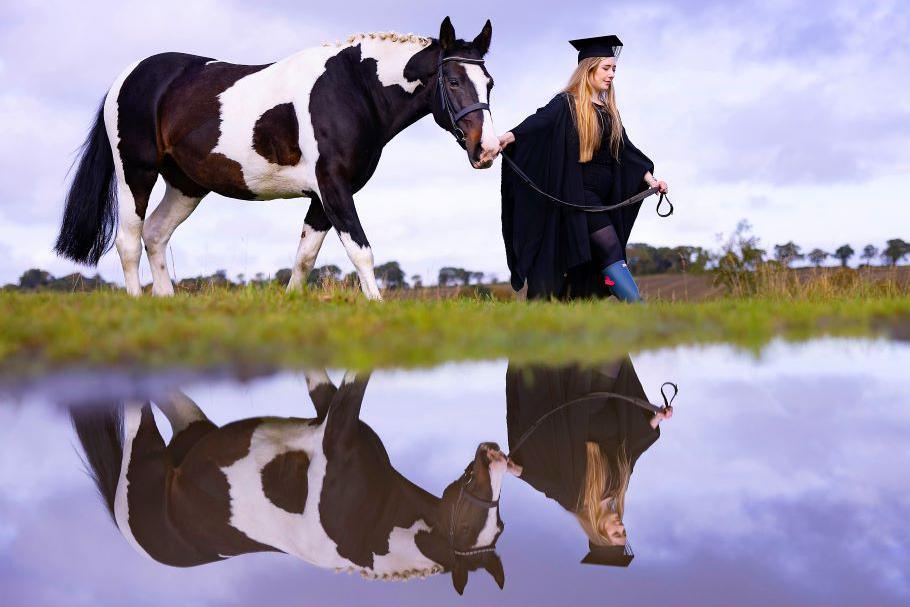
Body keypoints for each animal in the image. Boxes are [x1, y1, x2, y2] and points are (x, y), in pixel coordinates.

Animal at [55, 17, 498, 302]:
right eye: (453, 81)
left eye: (489, 82)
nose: (488, 148)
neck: (353, 89)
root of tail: (127, 78)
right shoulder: (334, 188)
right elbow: (361, 250)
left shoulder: (322, 197)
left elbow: (304, 257)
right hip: (137, 173)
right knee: (129, 240)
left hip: (185, 185)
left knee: (156, 234)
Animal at [69, 370, 520, 592]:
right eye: (468, 524)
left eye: (496, 525)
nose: (495, 454)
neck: (376, 529)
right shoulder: (332, 419)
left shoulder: (334, 424)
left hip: (173, 436)